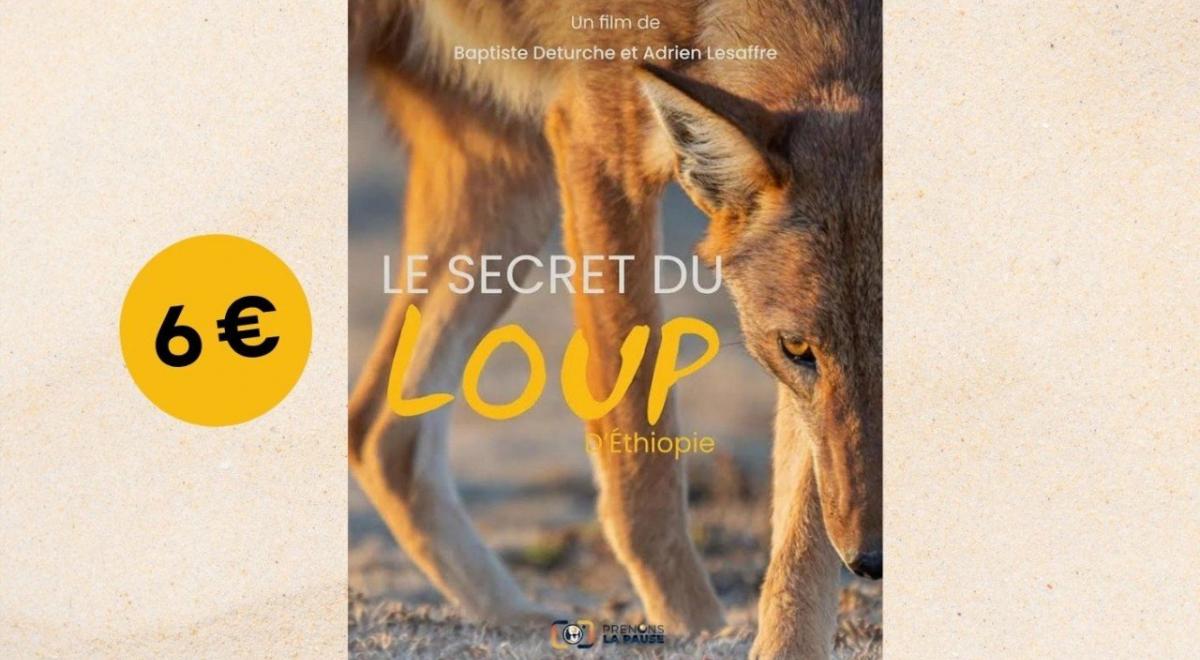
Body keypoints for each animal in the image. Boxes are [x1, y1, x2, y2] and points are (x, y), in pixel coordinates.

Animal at [348, 1, 880, 656]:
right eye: (797, 349)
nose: (870, 560)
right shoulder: (598, 144)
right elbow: (641, 461)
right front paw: (694, 631)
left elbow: (802, 527)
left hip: (514, 191)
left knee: (379, 434)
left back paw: (516, 619)